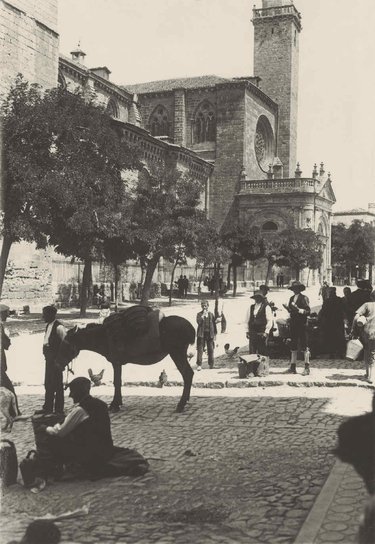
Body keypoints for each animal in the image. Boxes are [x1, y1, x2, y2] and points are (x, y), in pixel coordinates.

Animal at [56, 310, 197, 412]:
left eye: (65, 346)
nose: (57, 364)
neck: (105, 335)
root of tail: (190, 327)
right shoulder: (117, 363)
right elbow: (118, 382)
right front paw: (118, 403)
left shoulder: (116, 362)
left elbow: (117, 382)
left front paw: (114, 405)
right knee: (189, 374)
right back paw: (185, 401)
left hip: (177, 353)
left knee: (187, 374)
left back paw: (181, 404)